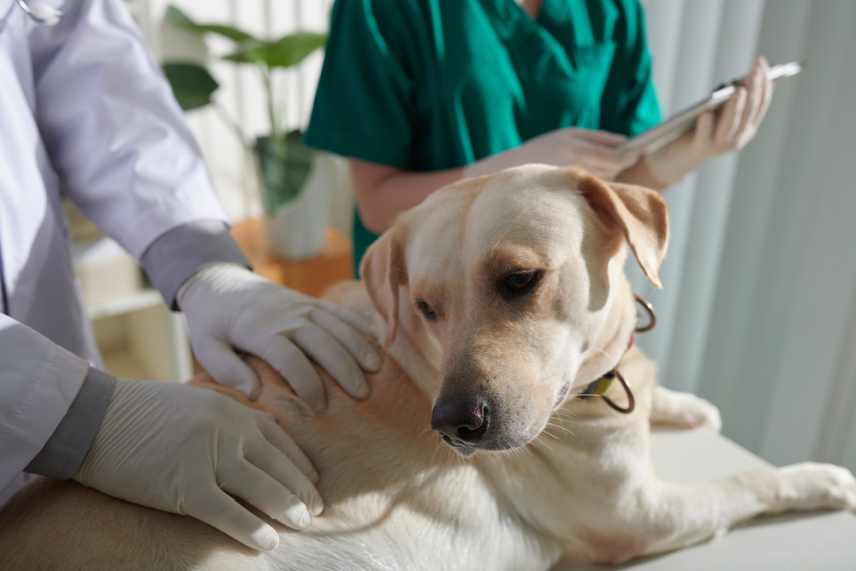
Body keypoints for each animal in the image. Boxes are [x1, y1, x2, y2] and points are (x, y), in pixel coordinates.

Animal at [1, 164, 856, 568]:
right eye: (425, 307)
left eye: (520, 279)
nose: (454, 424)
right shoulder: (640, 516)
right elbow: (746, 481)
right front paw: (820, 476)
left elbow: (650, 386)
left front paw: (682, 401)